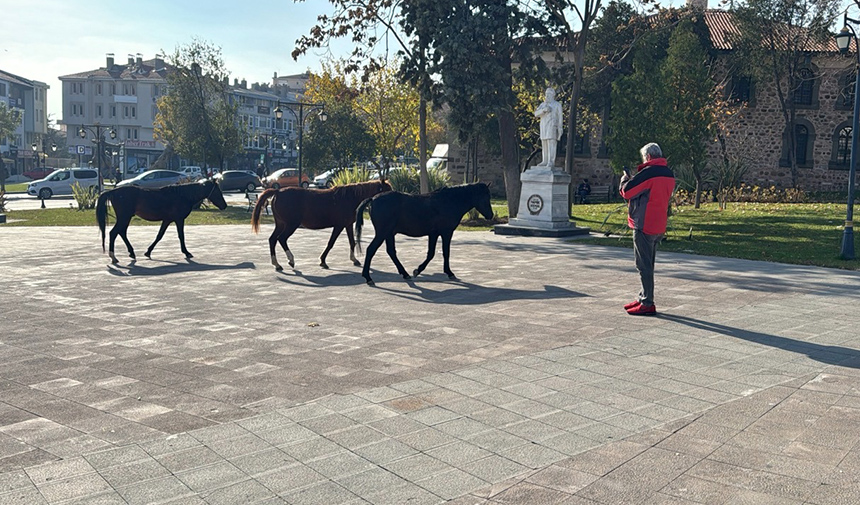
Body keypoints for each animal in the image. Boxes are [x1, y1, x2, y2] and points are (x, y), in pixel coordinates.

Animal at [96, 179, 228, 264]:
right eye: (217, 191)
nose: (224, 205)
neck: (183, 195)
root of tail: (113, 191)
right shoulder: (179, 220)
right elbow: (181, 236)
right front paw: (186, 252)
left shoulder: (167, 220)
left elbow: (159, 235)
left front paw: (148, 252)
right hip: (124, 217)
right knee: (114, 233)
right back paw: (113, 257)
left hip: (125, 218)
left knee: (121, 232)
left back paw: (131, 253)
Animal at [252, 179, 394, 270]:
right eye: (387, 190)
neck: (349, 198)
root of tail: (278, 192)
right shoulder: (339, 225)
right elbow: (331, 243)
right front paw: (323, 261)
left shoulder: (347, 225)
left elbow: (351, 242)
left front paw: (354, 259)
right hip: (291, 225)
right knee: (281, 239)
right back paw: (291, 260)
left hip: (281, 224)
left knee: (272, 239)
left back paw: (277, 264)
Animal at [354, 182, 490, 286]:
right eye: (485, 197)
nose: (490, 215)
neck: (448, 201)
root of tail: (372, 199)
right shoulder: (446, 233)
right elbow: (444, 253)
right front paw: (448, 272)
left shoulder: (434, 234)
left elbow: (431, 253)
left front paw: (417, 270)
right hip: (382, 233)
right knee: (371, 250)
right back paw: (368, 278)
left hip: (388, 234)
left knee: (391, 251)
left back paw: (405, 274)